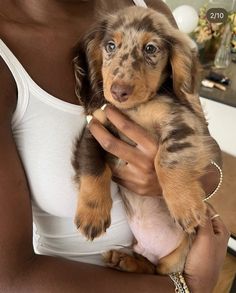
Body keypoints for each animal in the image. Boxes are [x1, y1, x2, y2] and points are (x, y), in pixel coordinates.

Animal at [72, 6, 219, 274]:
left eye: (150, 49)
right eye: (110, 46)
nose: (119, 91)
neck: (136, 109)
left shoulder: (180, 121)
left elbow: (168, 159)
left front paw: (185, 205)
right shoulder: (96, 128)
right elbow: (93, 166)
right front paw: (92, 214)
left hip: (177, 258)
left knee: (157, 269)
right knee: (149, 265)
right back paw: (124, 259)